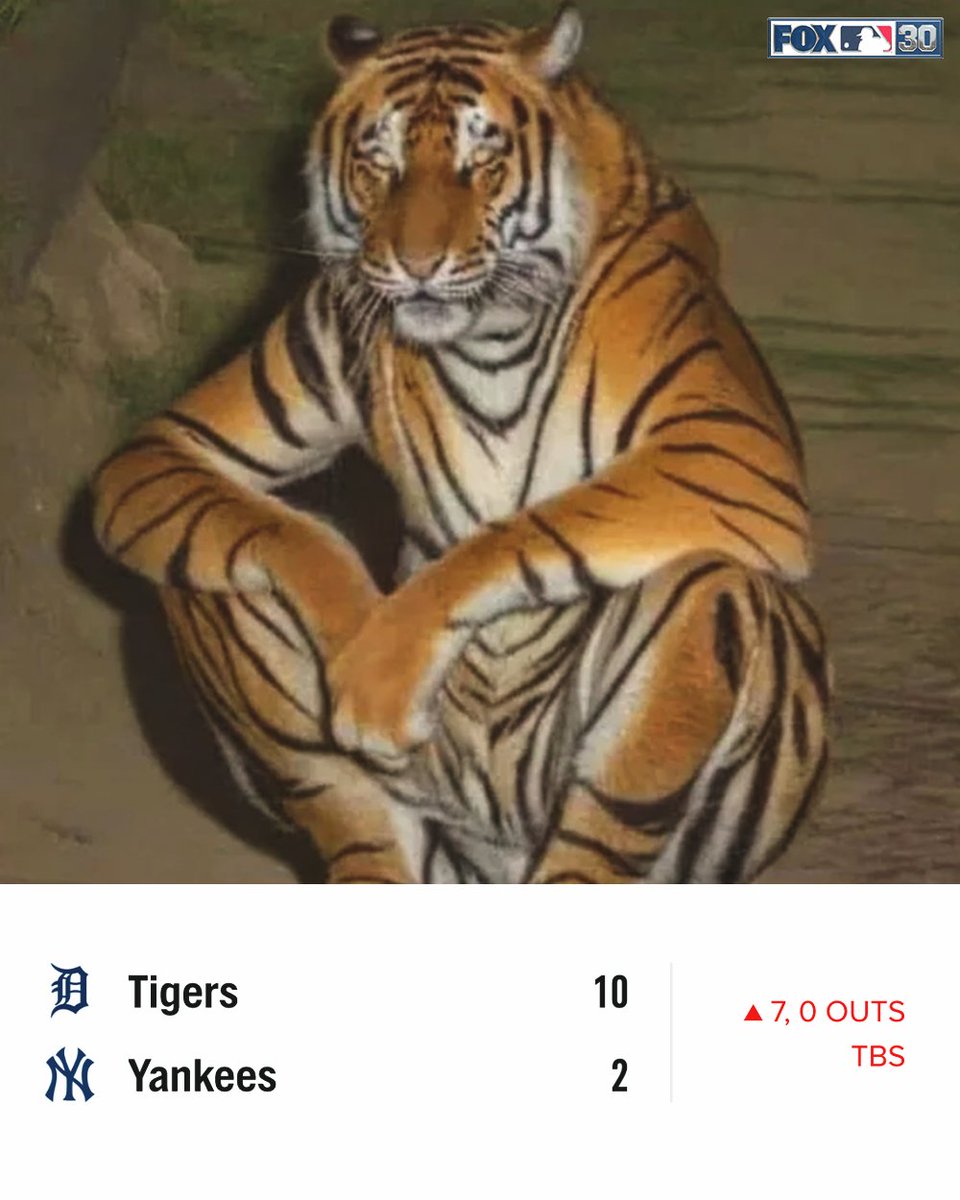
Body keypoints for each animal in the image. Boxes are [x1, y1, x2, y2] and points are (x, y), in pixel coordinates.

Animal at [91, 5, 830, 884]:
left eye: (484, 161)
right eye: (380, 161)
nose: (416, 265)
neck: (487, 336)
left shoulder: (730, 450)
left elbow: (519, 533)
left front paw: (381, 662)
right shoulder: (182, 441)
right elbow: (291, 531)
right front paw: (356, 642)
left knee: (687, 609)